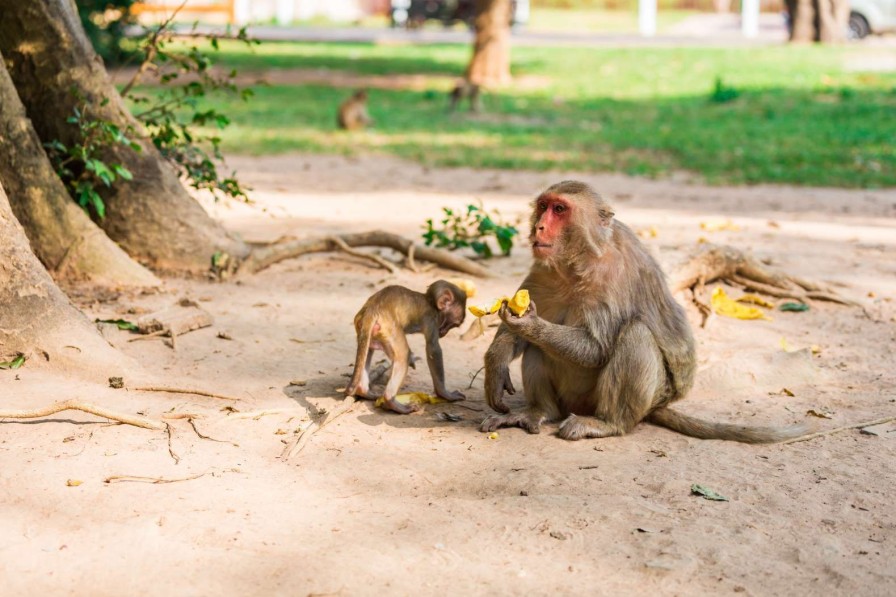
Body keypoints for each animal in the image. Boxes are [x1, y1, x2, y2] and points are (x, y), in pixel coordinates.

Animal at [344, 280, 466, 412]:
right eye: (453, 324)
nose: (443, 333)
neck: (430, 301)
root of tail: (372, 310)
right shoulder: (431, 319)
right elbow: (433, 350)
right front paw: (445, 394)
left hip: (365, 328)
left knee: (368, 350)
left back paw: (363, 391)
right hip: (389, 329)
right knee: (403, 356)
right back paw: (391, 402)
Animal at [484, 179, 804, 440]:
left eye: (560, 209)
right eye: (543, 206)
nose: (539, 227)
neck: (578, 261)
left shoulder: (612, 274)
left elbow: (596, 348)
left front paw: (529, 324)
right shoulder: (544, 268)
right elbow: (516, 339)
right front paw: (496, 362)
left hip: (639, 397)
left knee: (636, 334)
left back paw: (608, 423)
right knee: (539, 349)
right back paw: (540, 411)